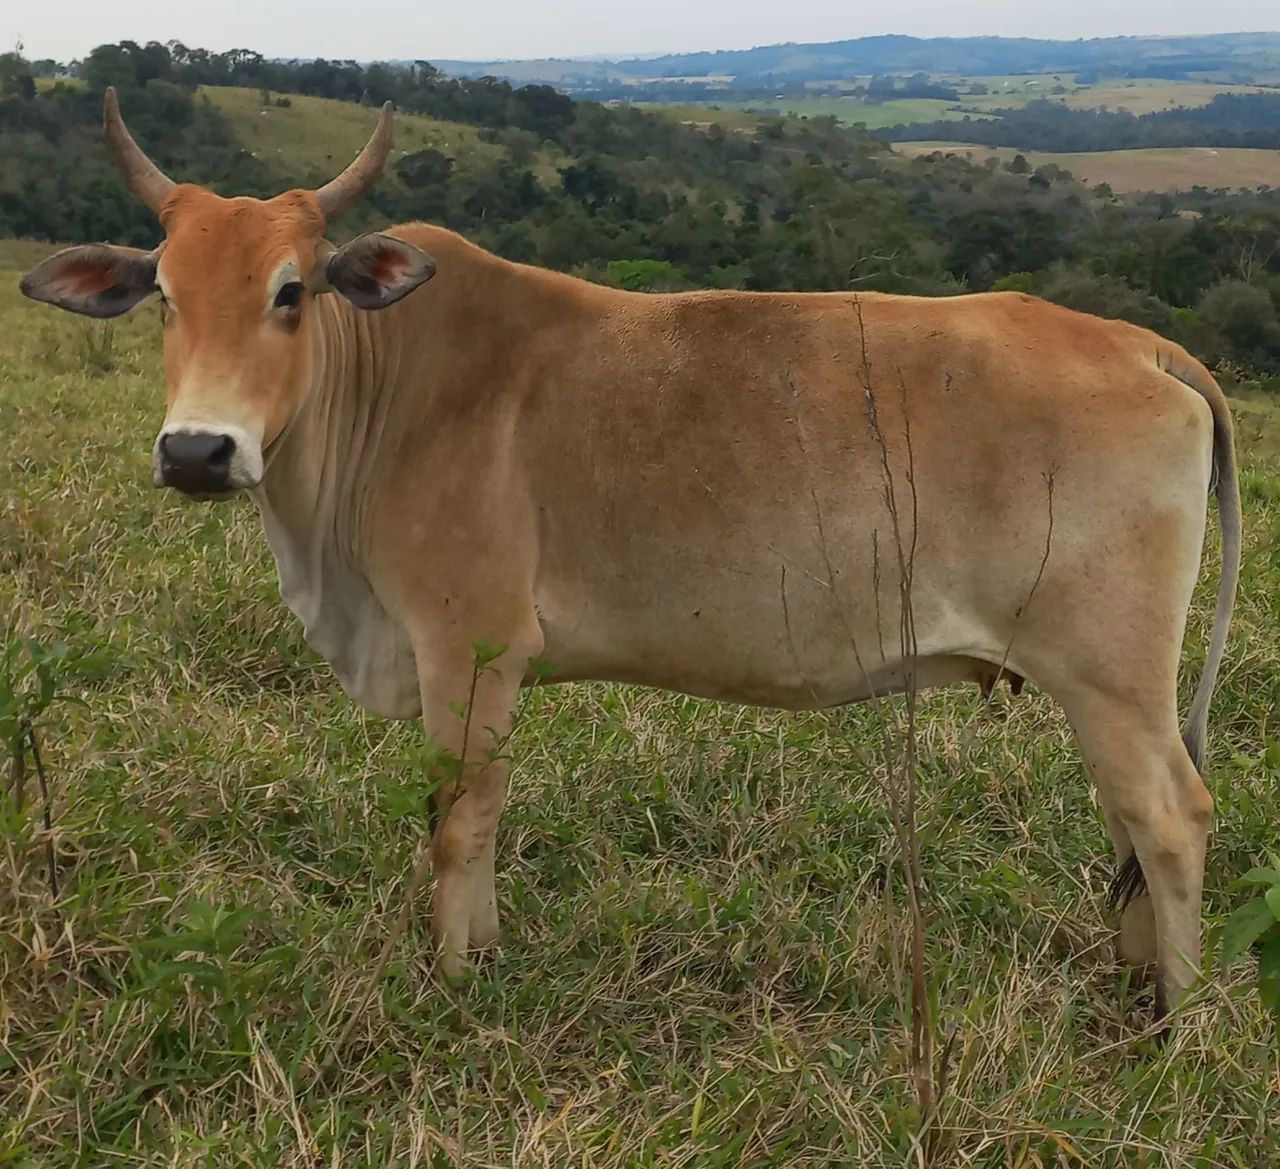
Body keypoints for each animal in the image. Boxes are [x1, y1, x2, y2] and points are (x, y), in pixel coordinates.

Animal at [20, 90, 1240, 1019]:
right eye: (162, 294)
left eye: (289, 290)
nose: (197, 449)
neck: (387, 381)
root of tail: (1146, 345)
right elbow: (476, 815)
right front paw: (484, 955)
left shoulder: (467, 648)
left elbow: (458, 820)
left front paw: (453, 979)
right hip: (1101, 685)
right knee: (1132, 823)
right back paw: (1136, 984)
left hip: (1110, 675)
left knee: (1171, 818)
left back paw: (1176, 1023)